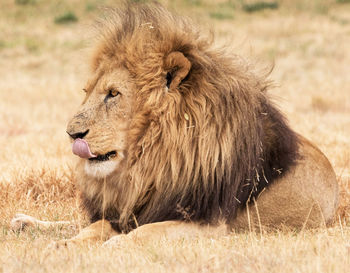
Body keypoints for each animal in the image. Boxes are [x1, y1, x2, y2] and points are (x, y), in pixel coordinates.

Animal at [11, 2, 340, 244]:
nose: (71, 134)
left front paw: (115, 244)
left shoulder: (210, 224)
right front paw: (66, 242)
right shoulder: (133, 208)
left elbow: (143, 232)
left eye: (113, 93)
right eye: (87, 91)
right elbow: (96, 224)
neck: (150, 160)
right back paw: (24, 222)